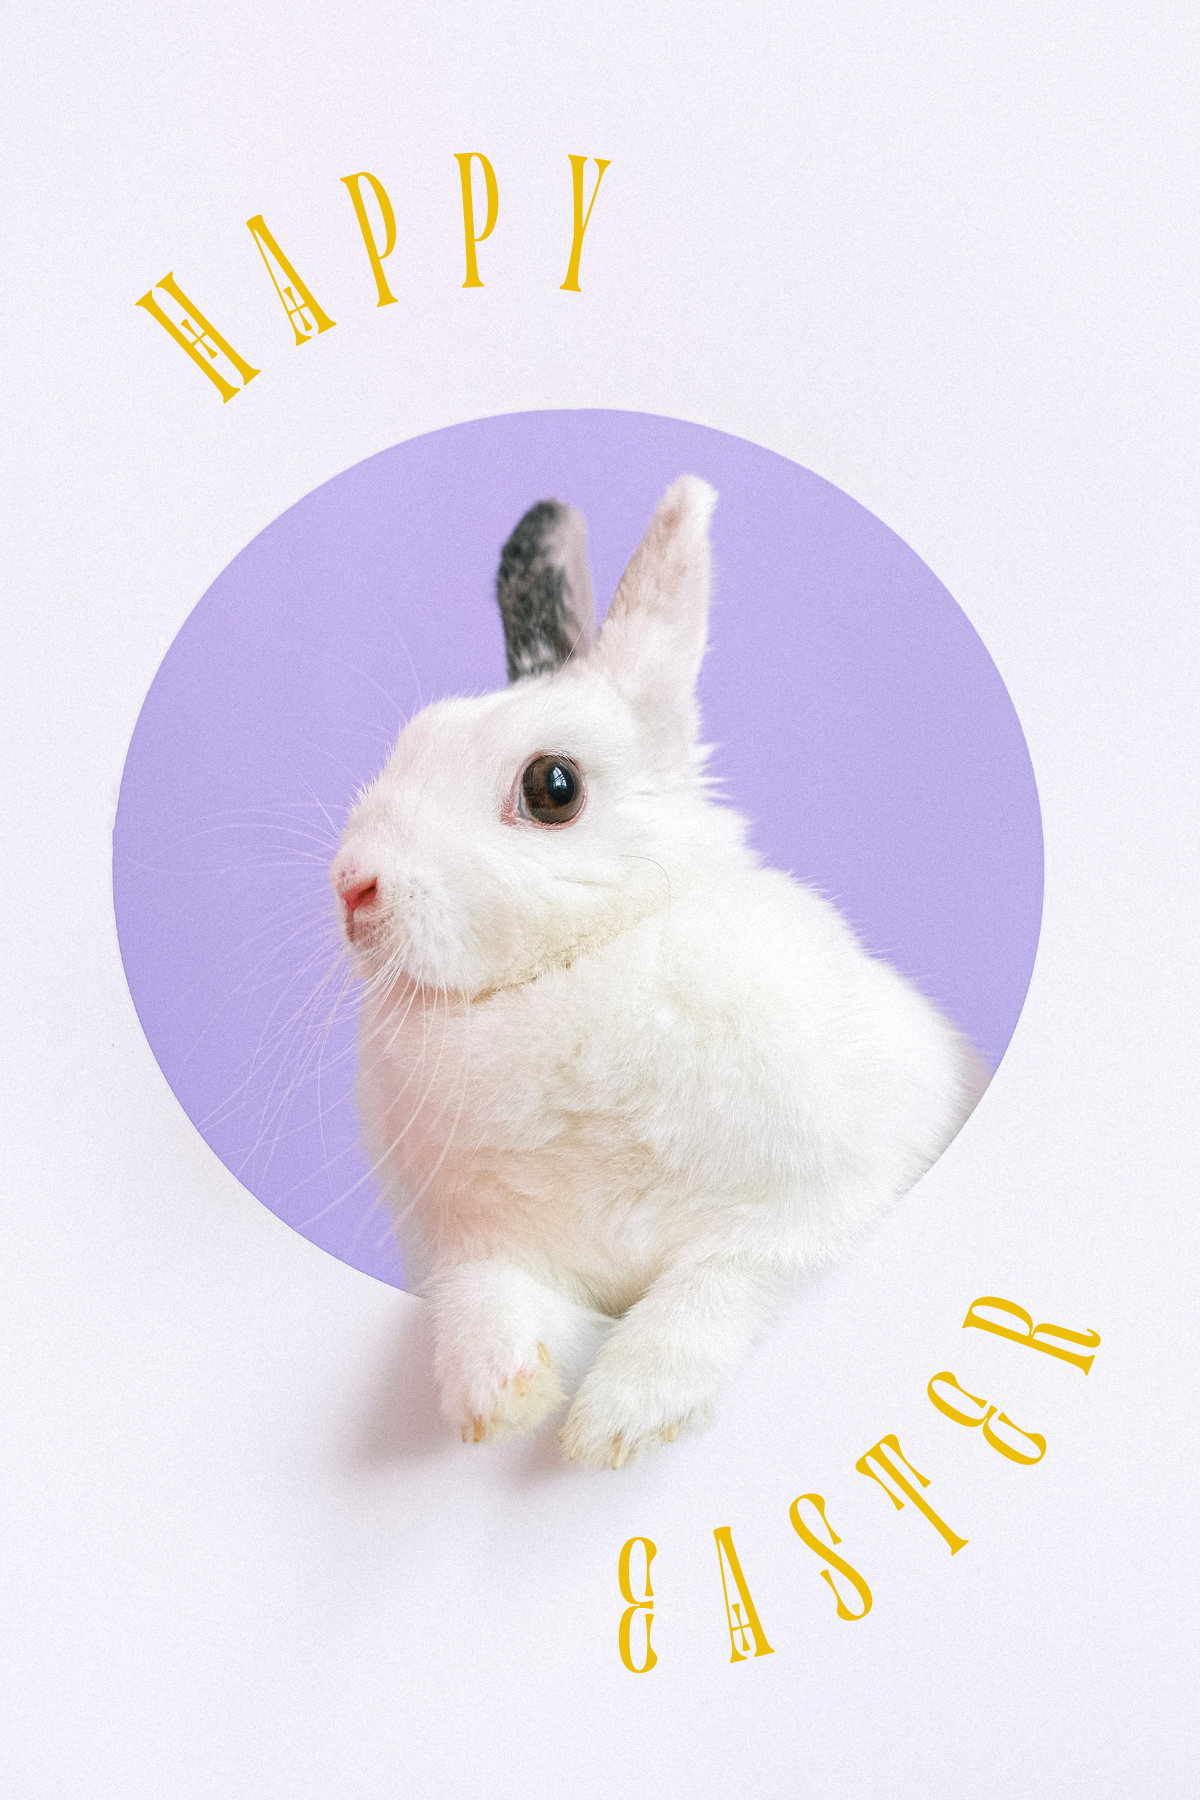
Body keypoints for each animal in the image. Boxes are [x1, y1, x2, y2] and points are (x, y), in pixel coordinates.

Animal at [330, 475, 989, 1469]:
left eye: (552, 788)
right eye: (414, 740)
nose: (352, 886)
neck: (578, 966)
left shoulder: (811, 1211)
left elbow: (708, 1294)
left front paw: (619, 1422)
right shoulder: (481, 1246)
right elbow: (486, 1299)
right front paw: (496, 1400)